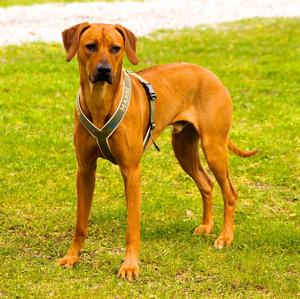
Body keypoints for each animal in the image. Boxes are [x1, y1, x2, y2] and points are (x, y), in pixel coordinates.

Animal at [56, 22, 258, 282]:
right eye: (90, 46)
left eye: (116, 48)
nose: (104, 71)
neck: (100, 103)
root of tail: (211, 74)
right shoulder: (84, 170)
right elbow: (80, 223)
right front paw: (72, 257)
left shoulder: (132, 171)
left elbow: (132, 227)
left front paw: (130, 266)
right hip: (183, 149)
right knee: (206, 184)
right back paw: (207, 226)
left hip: (213, 147)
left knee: (230, 191)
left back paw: (225, 237)